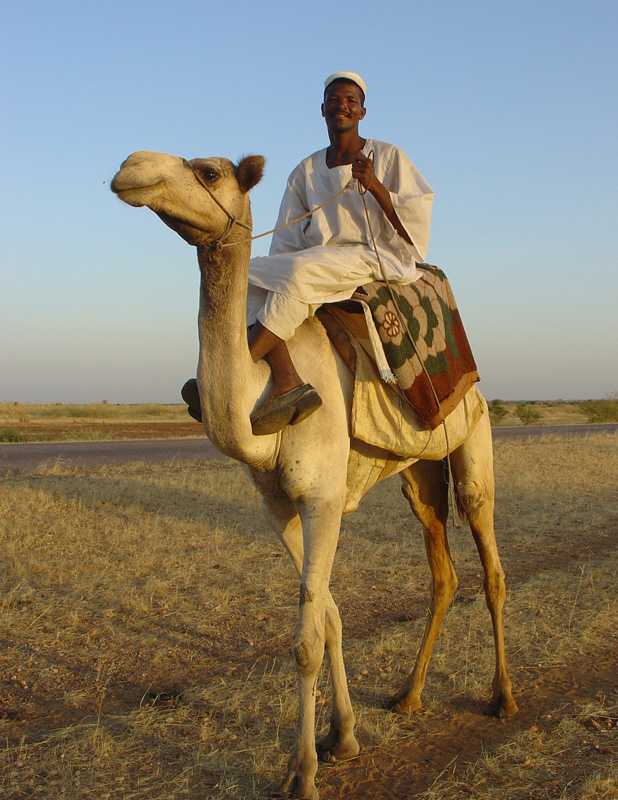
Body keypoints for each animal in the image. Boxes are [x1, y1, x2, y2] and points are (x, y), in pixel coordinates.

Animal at [111, 150, 518, 800]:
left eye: (208, 171)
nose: (131, 165)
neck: (257, 403)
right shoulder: (279, 504)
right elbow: (328, 615)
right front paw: (342, 736)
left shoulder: (322, 498)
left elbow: (305, 639)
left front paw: (301, 771)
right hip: (420, 475)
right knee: (444, 573)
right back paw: (408, 695)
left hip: (473, 441)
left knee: (492, 565)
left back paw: (502, 698)